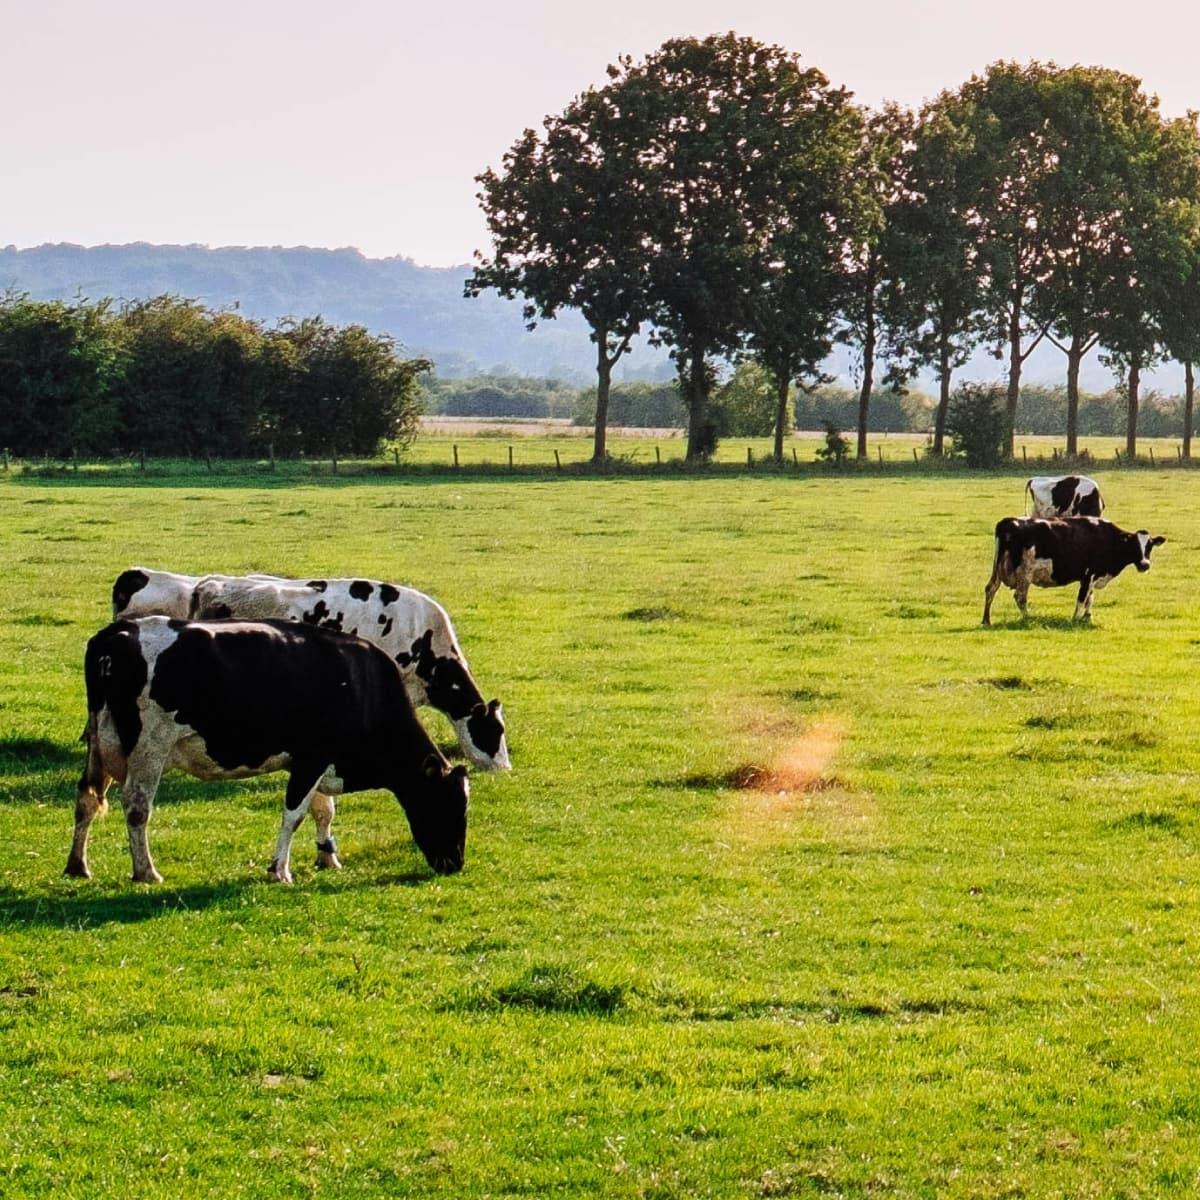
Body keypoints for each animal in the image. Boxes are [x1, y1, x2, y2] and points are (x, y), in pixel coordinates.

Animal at [64, 619, 468, 883]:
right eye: (448, 804)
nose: (456, 863)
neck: (361, 685)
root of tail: (115, 634)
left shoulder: (312, 763)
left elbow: (323, 810)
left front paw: (328, 858)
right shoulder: (313, 756)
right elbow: (295, 814)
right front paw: (280, 870)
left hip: (99, 742)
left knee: (87, 796)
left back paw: (77, 865)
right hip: (149, 744)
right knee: (136, 806)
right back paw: (146, 871)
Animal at [984, 518, 1161, 628]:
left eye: (1150, 546)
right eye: (1135, 545)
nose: (1145, 565)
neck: (1108, 539)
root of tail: (1008, 522)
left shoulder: (1092, 577)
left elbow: (1090, 597)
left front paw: (1087, 617)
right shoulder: (1088, 575)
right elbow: (1082, 598)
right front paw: (1075, 619)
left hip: (997, 570)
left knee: (990, 589)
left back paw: (986, 620)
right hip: (1025, 573)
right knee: (1020, 597)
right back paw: (1028, 619)